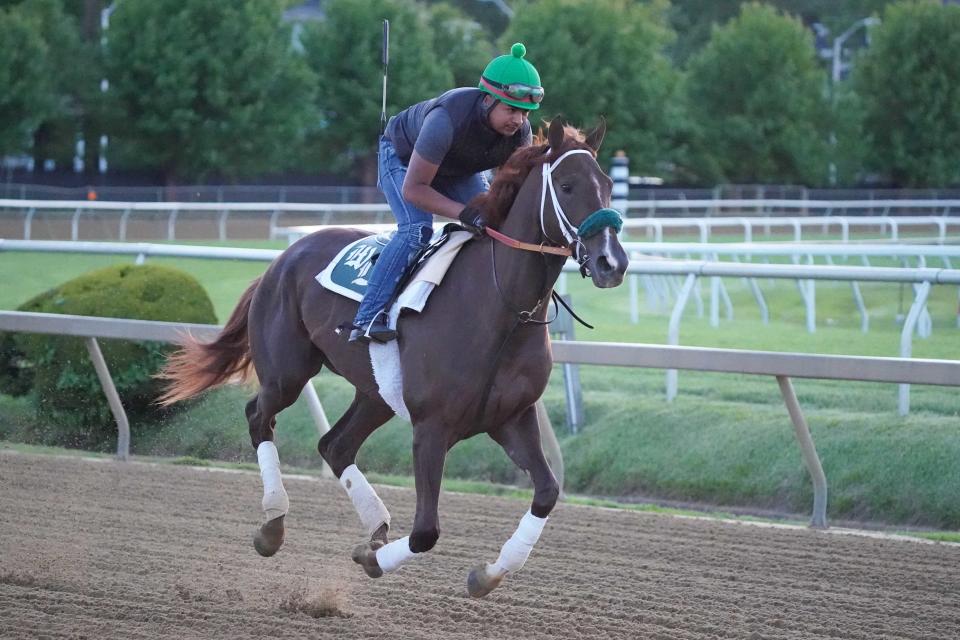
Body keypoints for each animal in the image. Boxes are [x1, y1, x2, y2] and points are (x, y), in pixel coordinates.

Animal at [158, 117, 632, 596]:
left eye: (609, 185)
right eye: (568, 186)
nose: (611, 263)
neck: (502, 307)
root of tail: (282, 259)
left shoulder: (511, 418)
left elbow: (548, 492)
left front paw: (486, 574)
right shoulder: (432, 428)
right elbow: (426, 531)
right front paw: (373, 560)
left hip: (377, 393)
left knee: (335, 445)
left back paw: (376, 525)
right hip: (286, 372)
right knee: (260, 416)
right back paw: (274, 523)